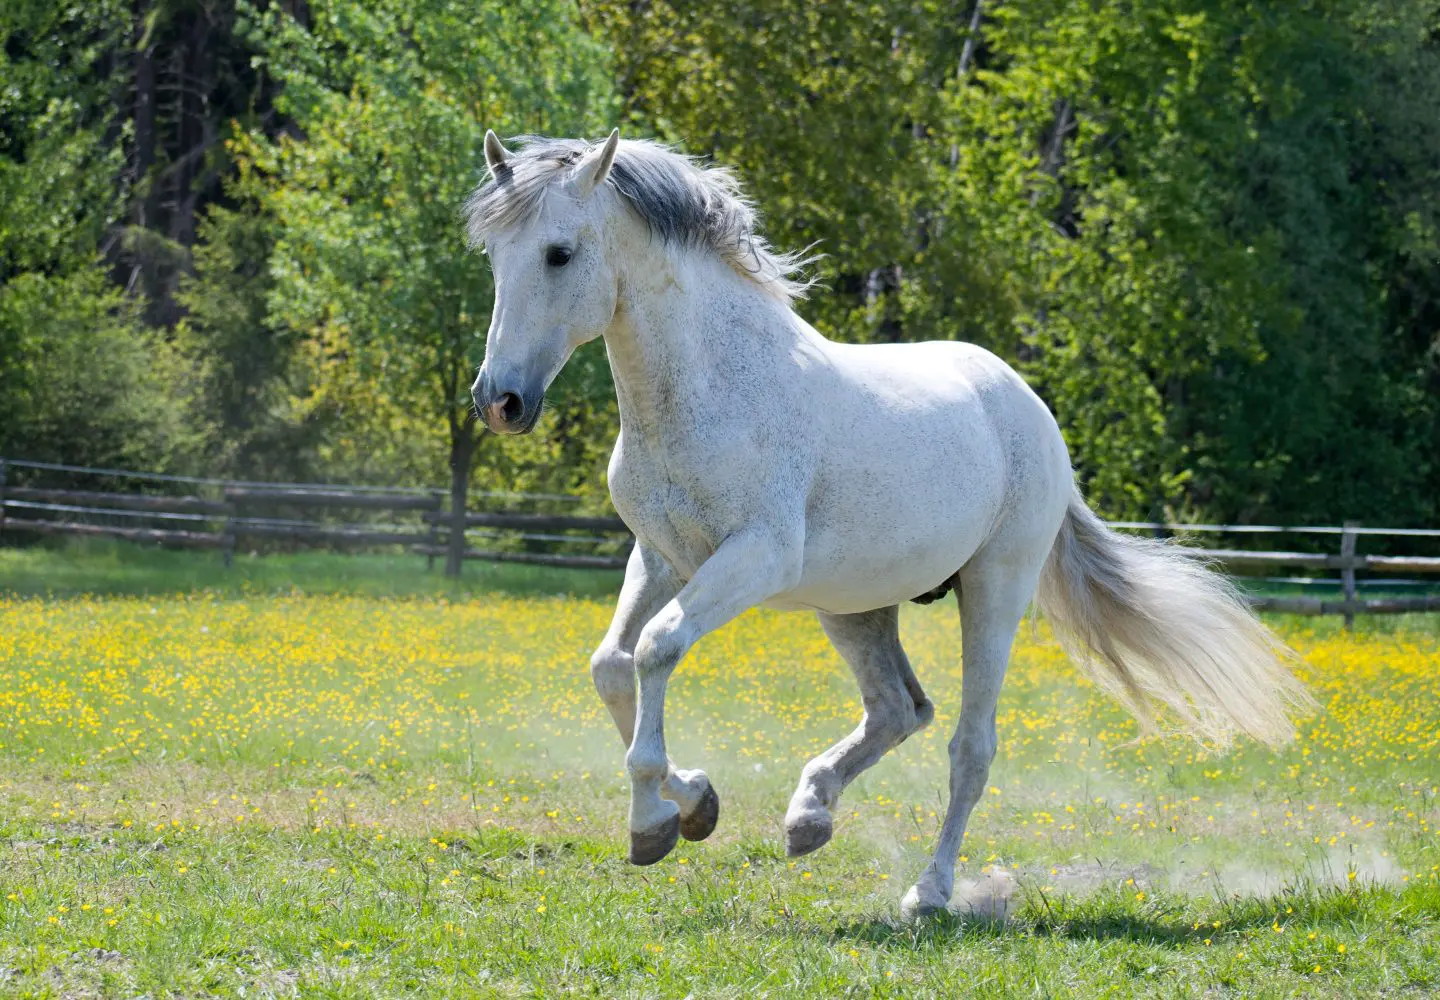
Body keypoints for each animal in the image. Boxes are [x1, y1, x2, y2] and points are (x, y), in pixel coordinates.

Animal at [466, 128, 1313, 922]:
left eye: (559, 253)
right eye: (493, 256)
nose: (499, 402)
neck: (711, 387)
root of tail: (1028, 407)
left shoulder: (754, 558)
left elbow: (657, 647)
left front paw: (652, 824)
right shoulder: (661, 554)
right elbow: (612, 665)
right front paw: (693, 806)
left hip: (994, 589)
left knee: (969, 745)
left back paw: (928, 893)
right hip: (854, 606)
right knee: (899, 709)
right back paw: (809, 817)